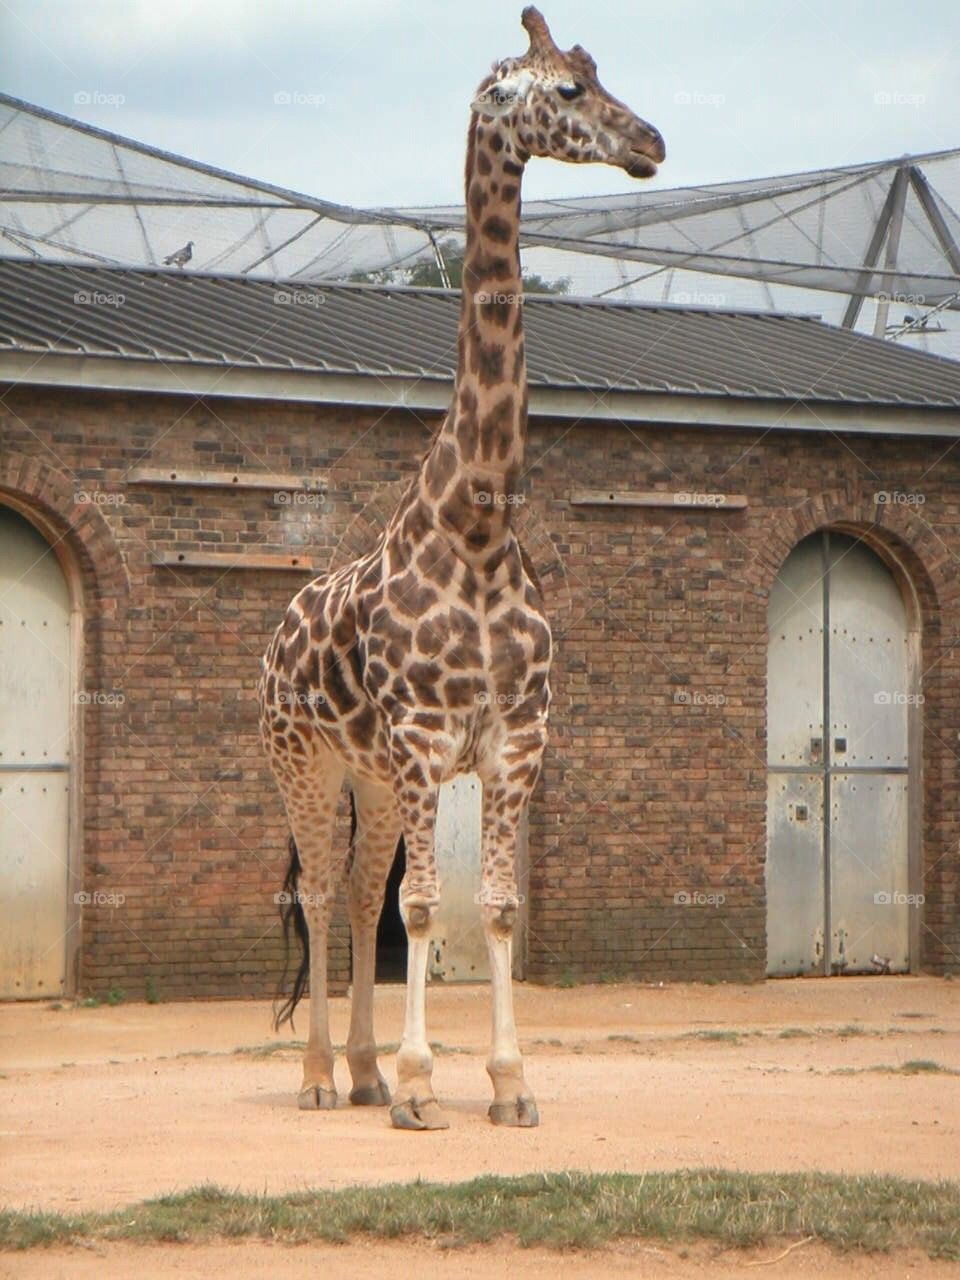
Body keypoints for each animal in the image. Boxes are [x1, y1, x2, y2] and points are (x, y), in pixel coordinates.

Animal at [259, 7, 670, 1131]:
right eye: (565, 92)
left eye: (601, 74)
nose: (652, 142)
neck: (478, 526)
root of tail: (278, 629)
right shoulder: (421, 737)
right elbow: (421, 906)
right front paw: (417, 1085)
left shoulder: (513, 741)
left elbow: (490, 906)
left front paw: (505, 1081)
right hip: (304, 760)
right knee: (322, 892)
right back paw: (321, 1076)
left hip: (369, 774)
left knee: (358, 893)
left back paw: (357, 1069)